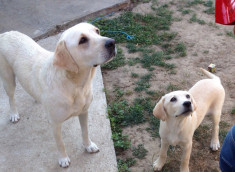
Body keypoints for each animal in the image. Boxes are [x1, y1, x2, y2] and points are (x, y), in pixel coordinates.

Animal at [0, 22, 115, 167]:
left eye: (97, 31)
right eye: (82, 40)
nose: (112, 42)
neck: (75, 85)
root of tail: (5, 33)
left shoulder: (84, 112)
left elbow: (85, 131)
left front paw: (88, 146)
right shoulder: (55, 123)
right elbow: (60, 143)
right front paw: (63, 159)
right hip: (8, 79)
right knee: (10, 97)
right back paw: (14, 114)